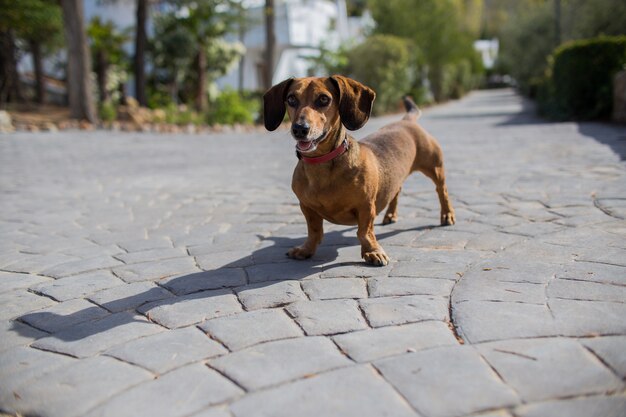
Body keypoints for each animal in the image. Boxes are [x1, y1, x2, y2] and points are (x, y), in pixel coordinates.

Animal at [262, 75, 454, 264]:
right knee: (396, 191)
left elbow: (364, 232)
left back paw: (447, 215)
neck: (322, 164)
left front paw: (372, 251)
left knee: (441, 190)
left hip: (434, 167)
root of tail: (406, 121)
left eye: (324, 99)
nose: (300, 129)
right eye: (291, 99)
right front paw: (306, 249)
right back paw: (391, 215)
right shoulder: (306, 207)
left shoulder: (366, 206)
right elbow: (314, 231)